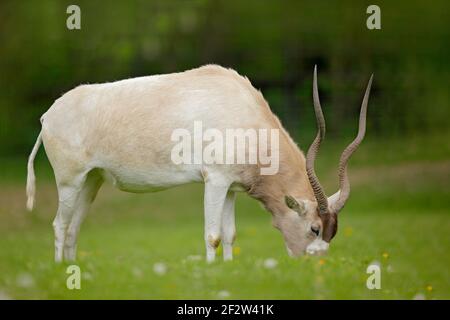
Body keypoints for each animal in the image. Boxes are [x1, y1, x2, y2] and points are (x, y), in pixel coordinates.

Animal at [26, 65, 374, 262]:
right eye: (314, 228)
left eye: (332, 232)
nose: (316, 265)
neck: (245, 114)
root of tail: (48, 116)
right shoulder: (214, 181)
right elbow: (213, 235)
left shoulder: (231, 187)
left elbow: (230, 234)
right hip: (70, 181)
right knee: (60, 225)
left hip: (91, 181)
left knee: (73, 228)